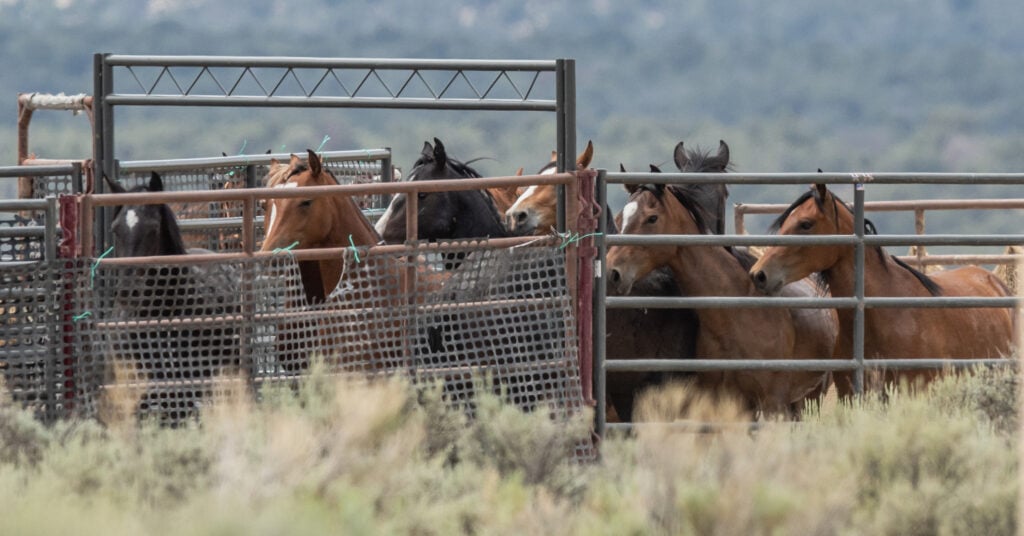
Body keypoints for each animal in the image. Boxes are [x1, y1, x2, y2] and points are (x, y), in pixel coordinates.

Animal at [602, 184, 835, 420]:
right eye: (620, 218)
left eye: (652, 218)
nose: (612, 272)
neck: (734, 314)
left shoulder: (772, 400)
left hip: (809, 397)